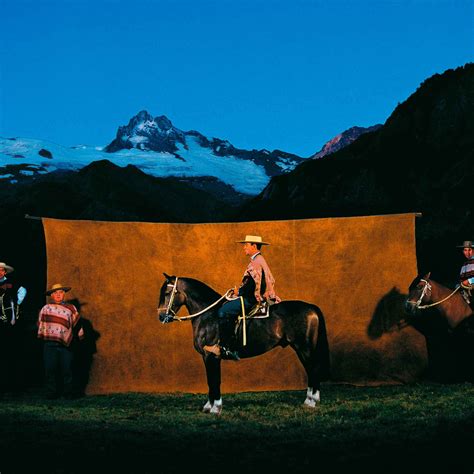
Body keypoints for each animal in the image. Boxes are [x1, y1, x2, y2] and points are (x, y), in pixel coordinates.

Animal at [157, 274, 328, 414]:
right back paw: (310, 400)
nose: (160, 316)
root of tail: (311, 307)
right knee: (311, 370)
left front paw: (215, 407)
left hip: (304, 348)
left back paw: (311, 401)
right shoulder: (208, 358)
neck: (208, 316)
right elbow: (210, 381)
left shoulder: (211, 356)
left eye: (166, 293)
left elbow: (214, 380)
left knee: (313, 369)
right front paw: (208, 406)